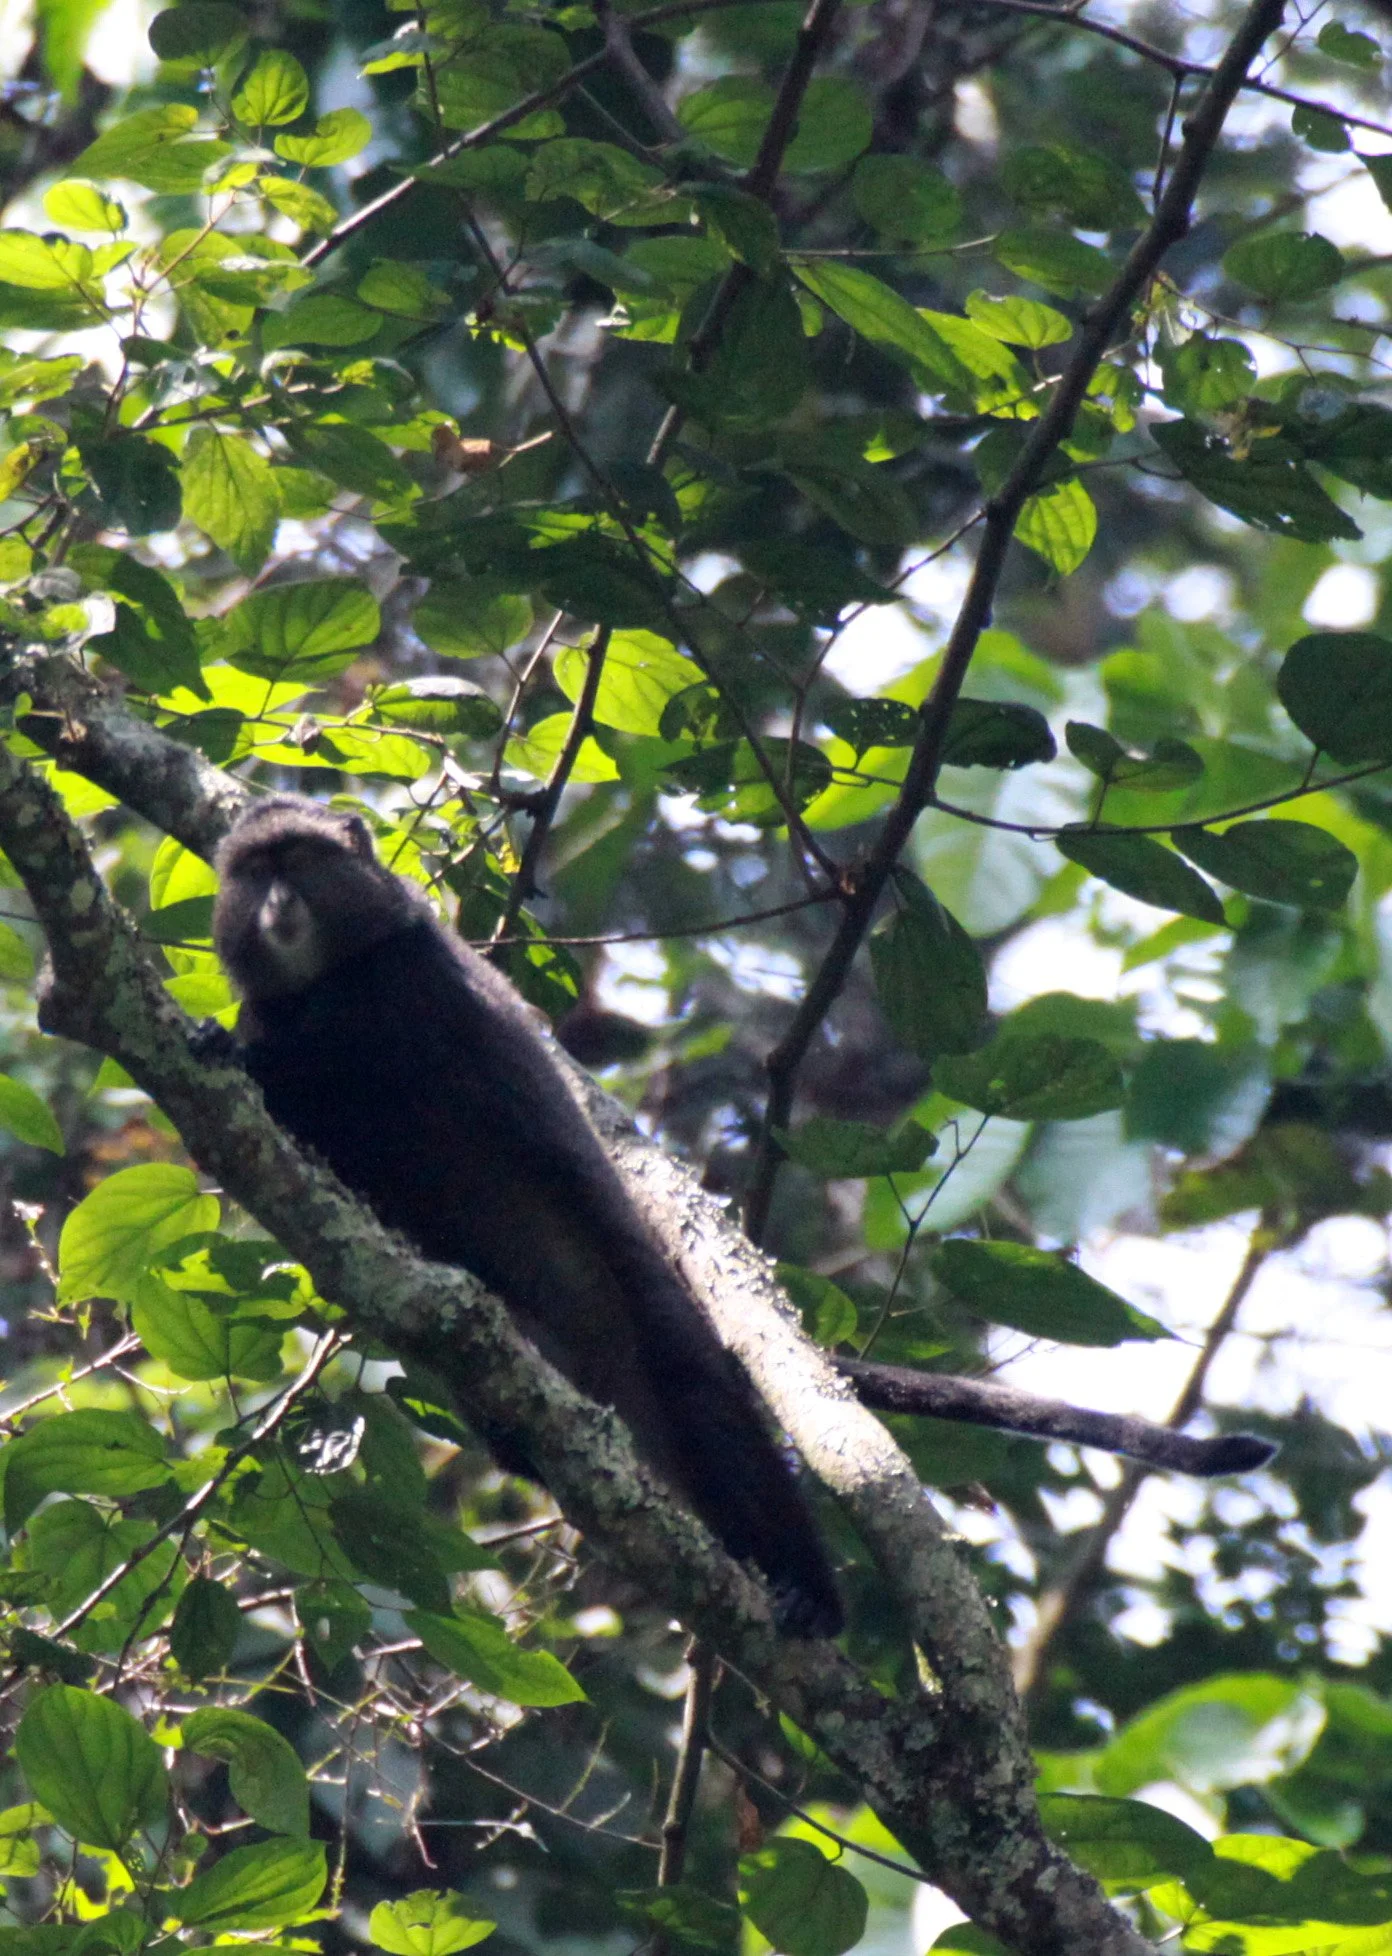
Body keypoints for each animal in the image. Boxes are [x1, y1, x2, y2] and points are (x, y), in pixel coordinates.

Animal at [210, 795, 845, 1638]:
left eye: (301, 860)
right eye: (255, 871)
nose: (279, 902)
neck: (330, 975)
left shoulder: (407, 987)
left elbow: (344, 1081)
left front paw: (230, 1053)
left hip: (646, 1303)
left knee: (709, 1408)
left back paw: (807, 1590)